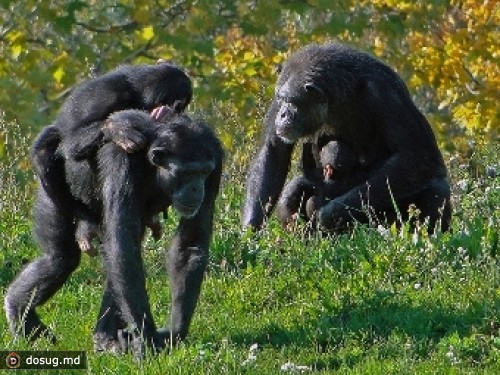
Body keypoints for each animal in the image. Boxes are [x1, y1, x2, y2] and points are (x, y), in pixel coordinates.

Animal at [3, 109, 223, 358]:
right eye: (187, 173)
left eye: (203, 172)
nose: (196, 188)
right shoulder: (122, 160)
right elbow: (122, 246)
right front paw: (148, 338)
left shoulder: (216, 159)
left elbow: (189, 243)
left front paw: (174, 332)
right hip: (50, 194)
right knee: (60, 259)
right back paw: (19, 310)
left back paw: (105, 338)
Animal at [30, 62, 191, 256]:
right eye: (181, 106)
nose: (180, 111)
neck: (137, 94)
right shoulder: (105, 96)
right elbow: (70, 140)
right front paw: (117, 128)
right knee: (46, 150)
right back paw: (86, 224)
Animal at [243, 42, 454, 234]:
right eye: (281, 99)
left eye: (293, 102)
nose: (282, 114)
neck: (333, 100)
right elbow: (273, 151)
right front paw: (249, 233)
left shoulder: (386, 93)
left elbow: (416, 154)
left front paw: (328, 215)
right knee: (293, 188)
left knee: (437, 188)